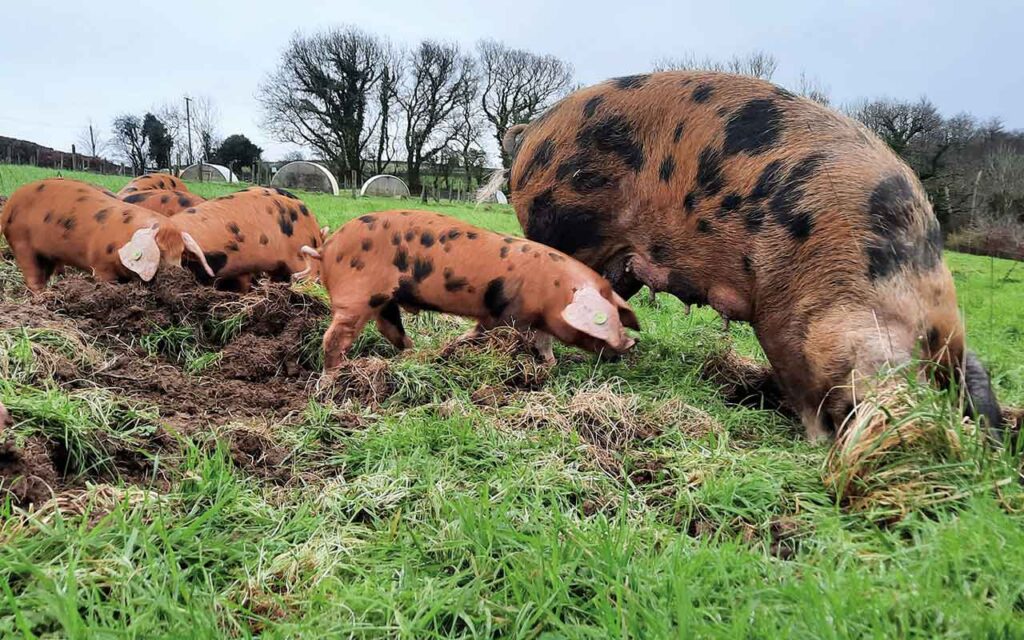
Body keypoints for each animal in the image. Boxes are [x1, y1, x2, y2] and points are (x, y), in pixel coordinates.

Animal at [0, 178, 214, 292]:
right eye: (159, 251)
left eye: (181, 253)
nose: (178, 273)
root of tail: (9, 205)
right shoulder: (100, 266)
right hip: (21, 243)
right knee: (32, 277)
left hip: (48, 254)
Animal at [304, 210, 638, 369]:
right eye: (603, 320)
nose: (630, 343)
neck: (554, 290)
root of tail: (326, 248)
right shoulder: (509, 315)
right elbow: (494, 334)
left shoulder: (531, 319)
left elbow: (542, 341)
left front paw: (551, 364)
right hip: (358, 296)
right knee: (334, 338)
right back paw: (333, 378)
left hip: (384, 301)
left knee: (391, 329)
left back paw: (415, 354)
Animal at [492, 71, 1002, 442]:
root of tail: (534, 128)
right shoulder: (781, 314)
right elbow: (800, 385)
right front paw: (815, 440)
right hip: (559, 226)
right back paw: (543, 366)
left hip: (615, 261)